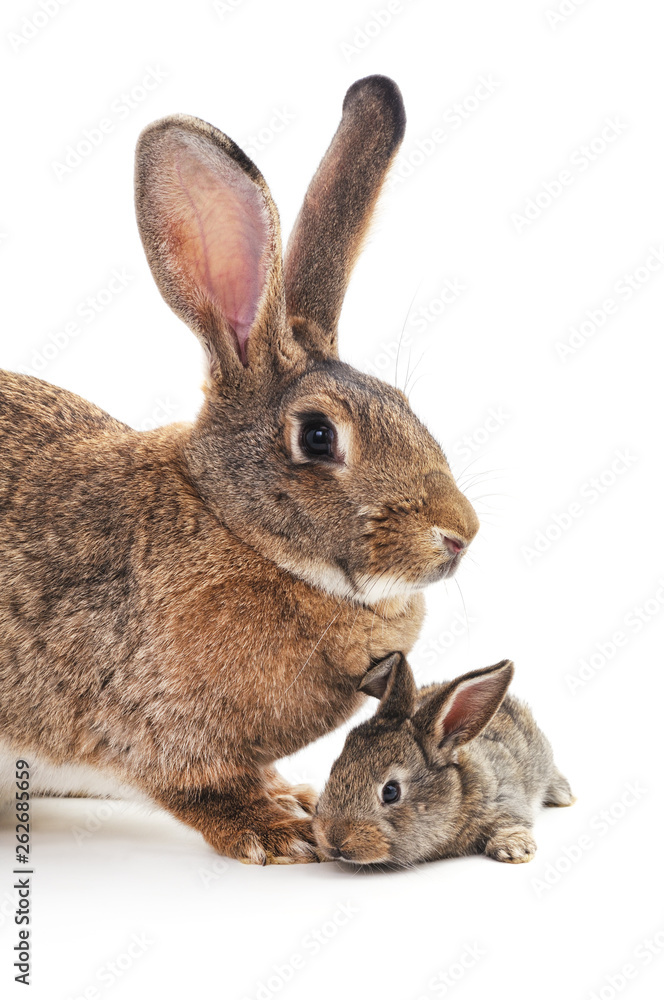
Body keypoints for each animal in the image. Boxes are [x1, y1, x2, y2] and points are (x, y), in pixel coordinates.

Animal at [0, 76, 480, 865]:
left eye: (406, 405)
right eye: (318, 436)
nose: (460, 534)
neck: (234, 527)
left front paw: (298, 799)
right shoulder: (161, 728)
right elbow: (201, 789)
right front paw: (276, 831)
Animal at [313, 652, 574, 866]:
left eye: (391, 791)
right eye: (333, 770)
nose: (334, 838)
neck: (457, 797)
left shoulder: (506, 799)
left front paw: (514, 849)